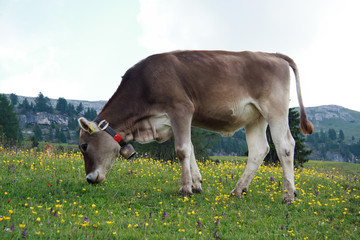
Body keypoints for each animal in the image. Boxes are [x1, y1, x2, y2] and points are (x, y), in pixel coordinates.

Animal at [78, 50, 312, 202]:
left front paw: (185, 189)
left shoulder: (181, 109)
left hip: (275, 109)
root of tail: (273, 55)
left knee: (285, 146)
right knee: (259, 150)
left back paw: (288, 195)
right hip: (256, 117)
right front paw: (196, 184)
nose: (89, 179)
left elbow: (181, 150)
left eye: (84, 146)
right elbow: (190, 148)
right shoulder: (171, 120)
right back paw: (238, 190)